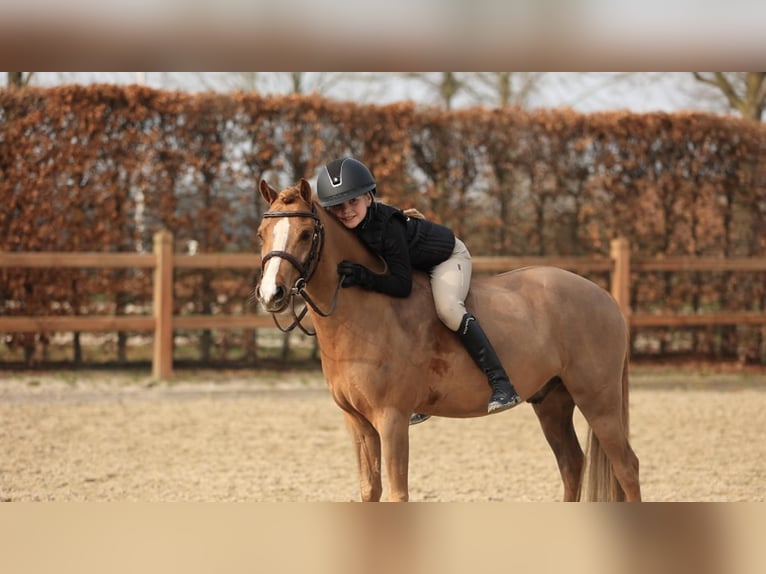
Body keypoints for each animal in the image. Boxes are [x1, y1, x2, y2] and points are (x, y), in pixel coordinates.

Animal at [255, 178, 641, 502]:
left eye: (306, 234)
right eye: (262, 233)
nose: (271, 294)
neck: (365, 309)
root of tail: (605, 298)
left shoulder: (392, 419)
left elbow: (397, 494)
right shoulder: (358, 422)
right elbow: (370, 491)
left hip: (598, 401)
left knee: (627, 467)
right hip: (552, 401)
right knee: (572, 465)